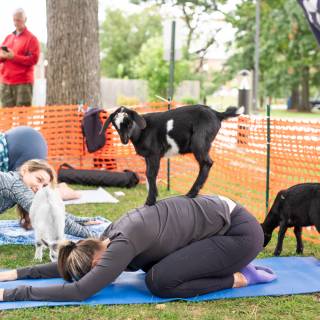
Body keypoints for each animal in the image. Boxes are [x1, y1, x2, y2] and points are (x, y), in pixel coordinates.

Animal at [101, 104, 244, 205]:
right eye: (115, 124)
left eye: (129, 122)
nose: (124, 140)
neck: (141, 131)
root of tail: (217, 114)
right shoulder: (148, 157)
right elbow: (148, 174)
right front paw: (154, 195)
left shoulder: (154, 154)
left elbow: (151, 174)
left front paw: (150, 201)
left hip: (200, 141)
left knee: (206, 163)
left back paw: (191, 193)